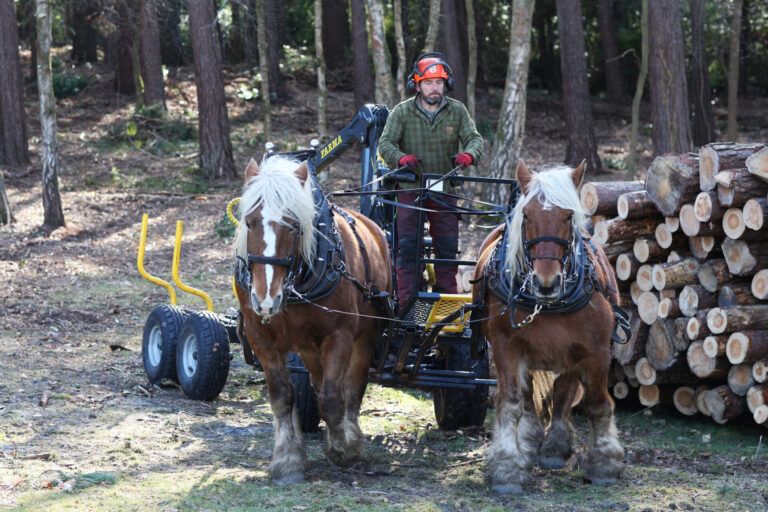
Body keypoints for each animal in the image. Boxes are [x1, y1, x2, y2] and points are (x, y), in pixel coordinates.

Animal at [234, 155, 392, 484]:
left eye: (294, 226)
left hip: (366, 336)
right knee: (319, 383)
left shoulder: (340, 337)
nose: (264, 299)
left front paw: (345, 448)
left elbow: (333, 399)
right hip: (308, 347)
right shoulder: (260, 336)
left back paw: (350, 433)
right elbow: (282, 396)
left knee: (352, 387)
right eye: (250, 222)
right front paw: (288, 460)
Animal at [473, 161, 624, 494]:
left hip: (571, 354)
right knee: (531, 396)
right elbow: (511, 404)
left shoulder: (596, 350)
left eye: (568, 216)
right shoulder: (505, 347)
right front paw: (506, 467)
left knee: (563, 392)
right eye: (527, 216)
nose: (546, 283)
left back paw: (555, 445)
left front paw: (605, 462)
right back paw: (530, 441)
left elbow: (597, 404)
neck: (548, 304)